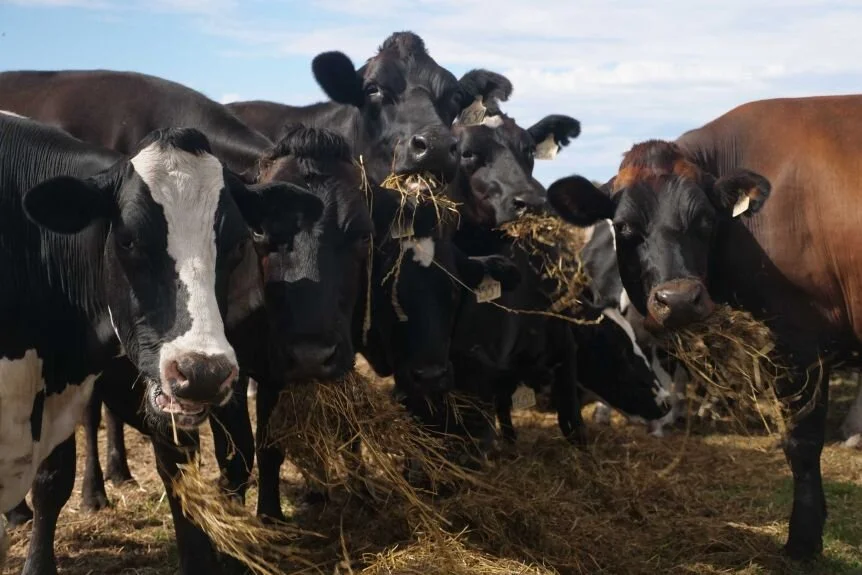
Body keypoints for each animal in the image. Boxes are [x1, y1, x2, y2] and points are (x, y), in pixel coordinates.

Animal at [542, 94, 862, 560]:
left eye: (707, 221)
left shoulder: (799, 344)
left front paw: (803, 542)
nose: (678, 299)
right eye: (624, 227)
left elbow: (801, 444)